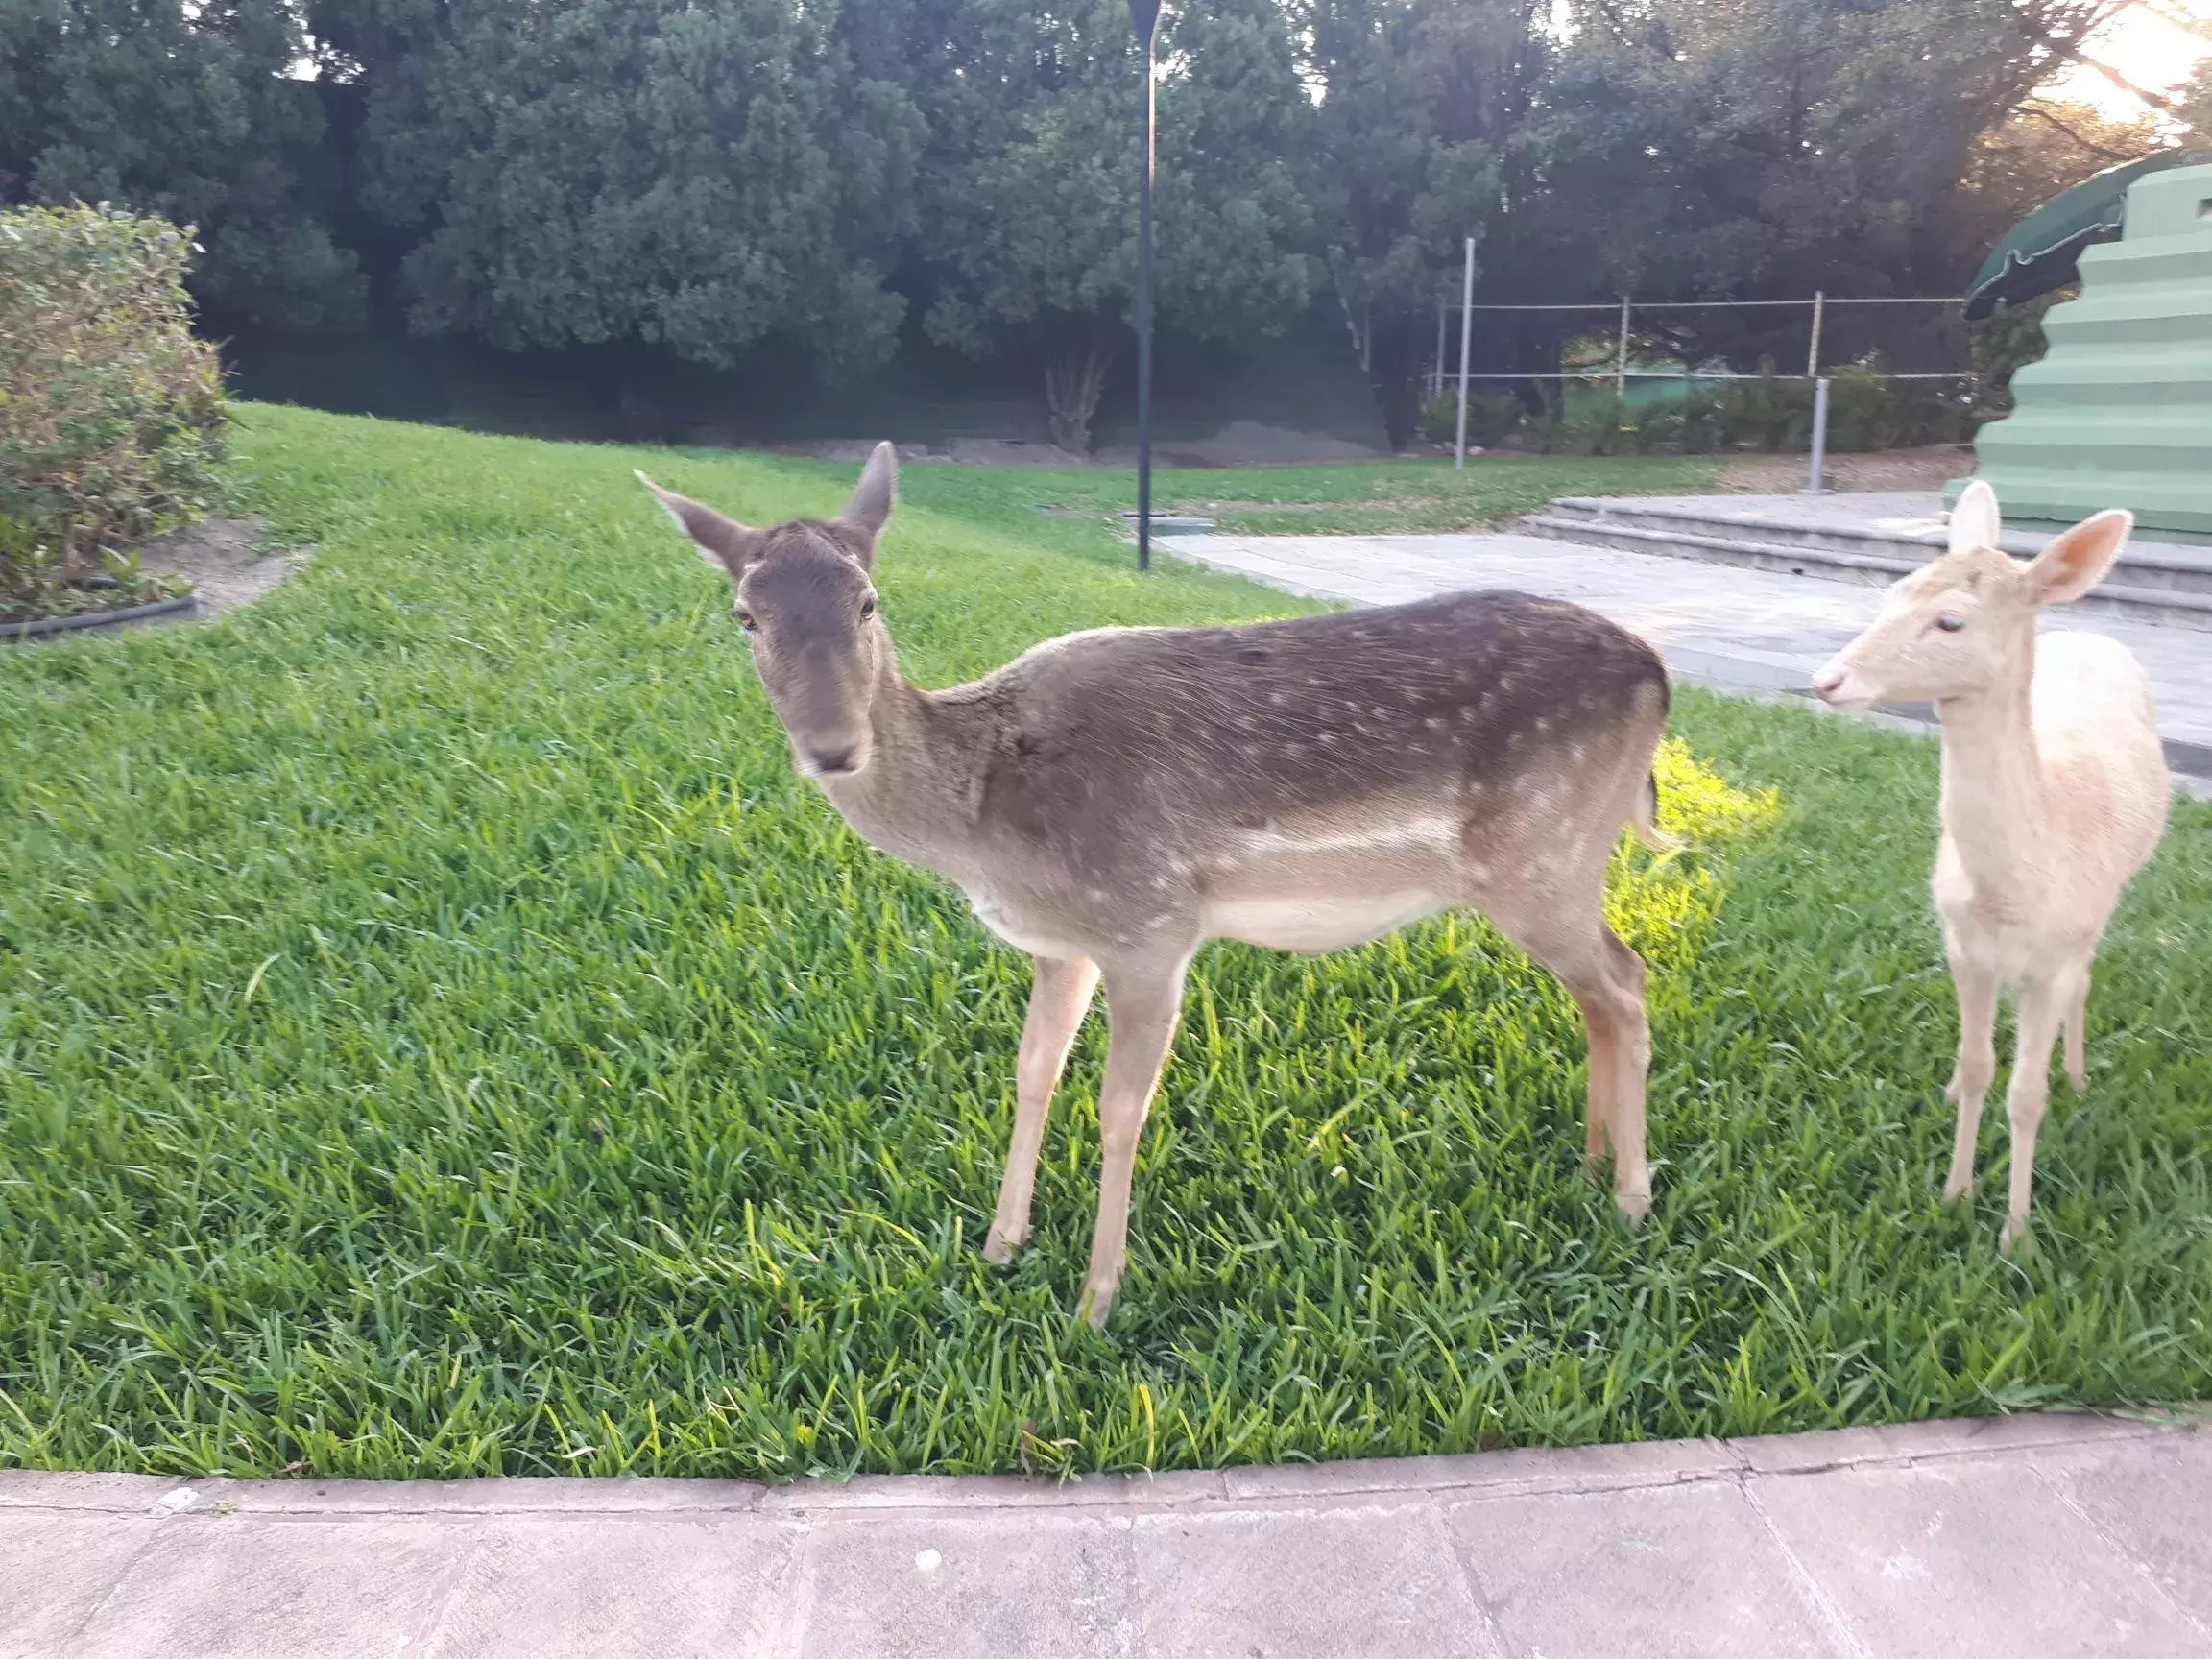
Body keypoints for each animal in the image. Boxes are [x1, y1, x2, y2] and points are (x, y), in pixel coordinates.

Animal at [641, 448, 1671, 1335]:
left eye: (868, 600)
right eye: (744, 615)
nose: (833, 749)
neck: (986, 822)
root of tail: (1658, 675)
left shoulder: (1151, 921)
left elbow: (1119, 1107)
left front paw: (1095, 1301)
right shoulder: (1061, 944)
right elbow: (1032, 1072)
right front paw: (999, 1247)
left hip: (1545, 854)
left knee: (1628, 980)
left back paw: (1630, 1199)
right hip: (1552, 870)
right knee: (1600, 990)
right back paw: (1588, 1164)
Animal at [1822, 479, 2167, 1256]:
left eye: (1951, 621)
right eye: (1893, 592)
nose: (1828, 679)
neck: (2014, 892)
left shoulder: (2060, 947)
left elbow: (2026, 1094)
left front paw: (2016, 1235)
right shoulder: (1962, 945)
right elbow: (1980, 1068)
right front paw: (1955, 1193)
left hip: (2107, 905)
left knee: (2087, 980)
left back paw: (2077, 1074)